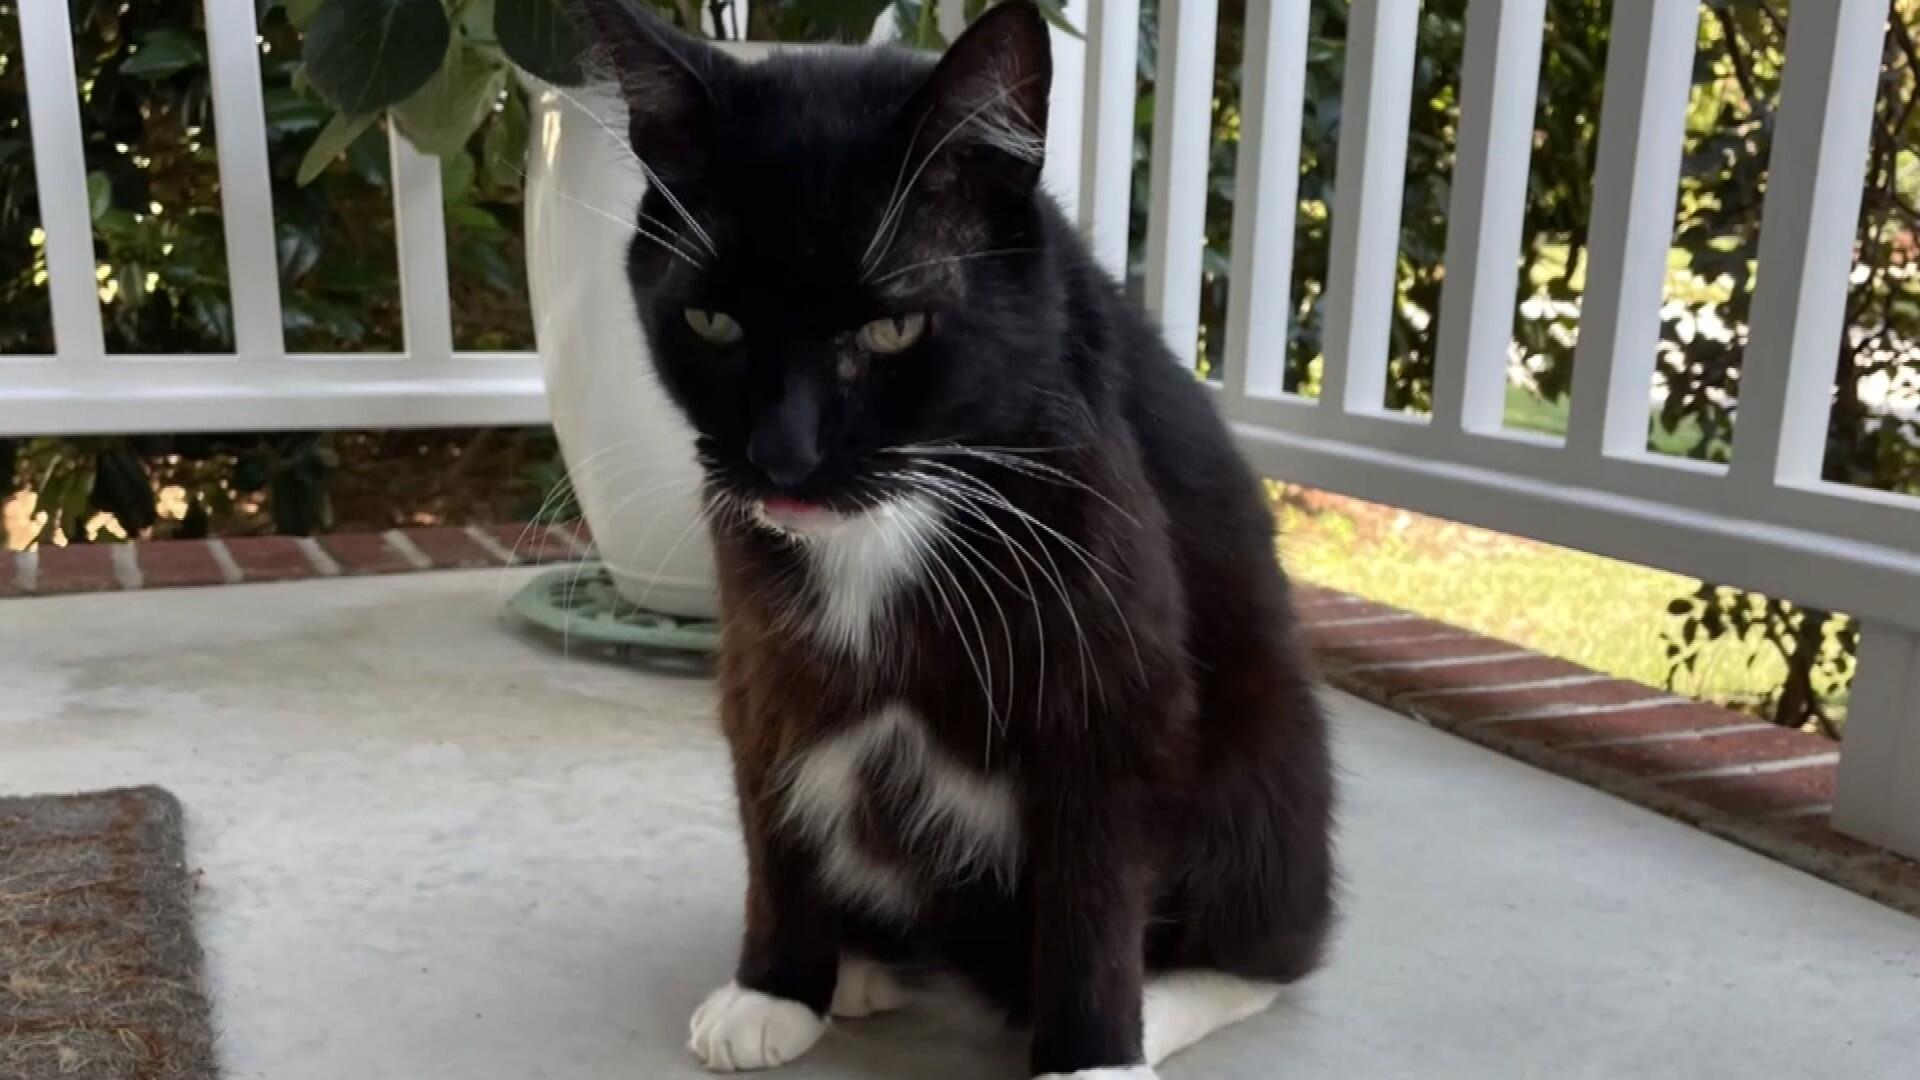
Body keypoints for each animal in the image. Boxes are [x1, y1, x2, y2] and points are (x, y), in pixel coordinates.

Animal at [568, 4, 1336, 1068]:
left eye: (892, 331)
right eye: (712, 321)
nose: (784, 459)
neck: (892, 518)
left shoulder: (1110, 666)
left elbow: (1098, 867)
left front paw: (1093, 1052)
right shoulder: (763, 648)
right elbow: (773, 797)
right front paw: (776, 987)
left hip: (1272, 765)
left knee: (1270, 944)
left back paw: (1161, 1001)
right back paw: (866, 963)